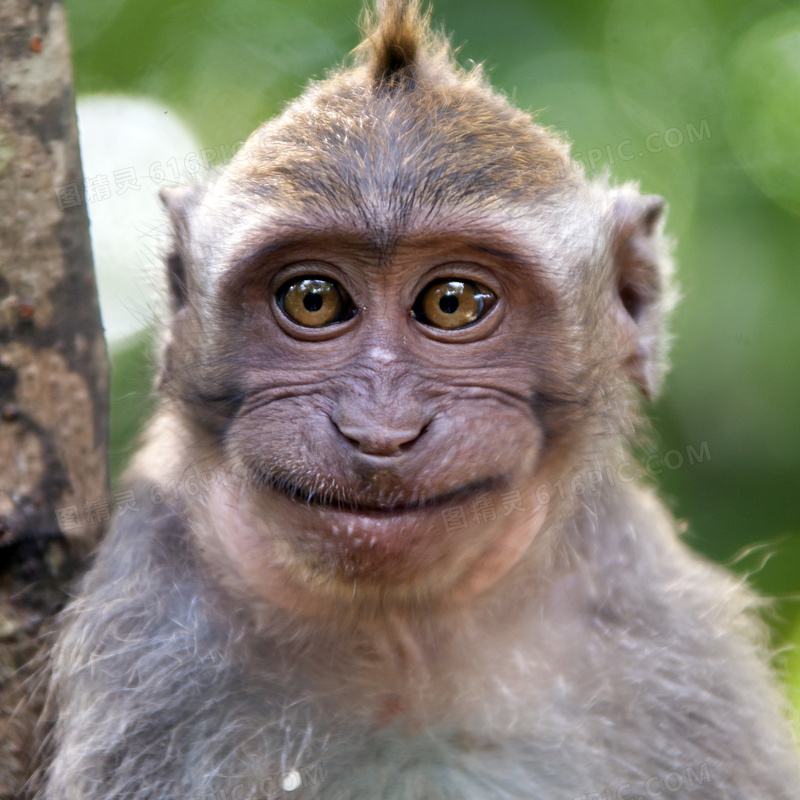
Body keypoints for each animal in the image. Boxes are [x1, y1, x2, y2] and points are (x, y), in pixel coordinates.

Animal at [42, 0, 800, 796]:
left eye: (453, 302)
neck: (403, 635)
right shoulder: (151, 644)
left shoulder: (666, 637)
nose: (380, 432)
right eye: (313, 299)